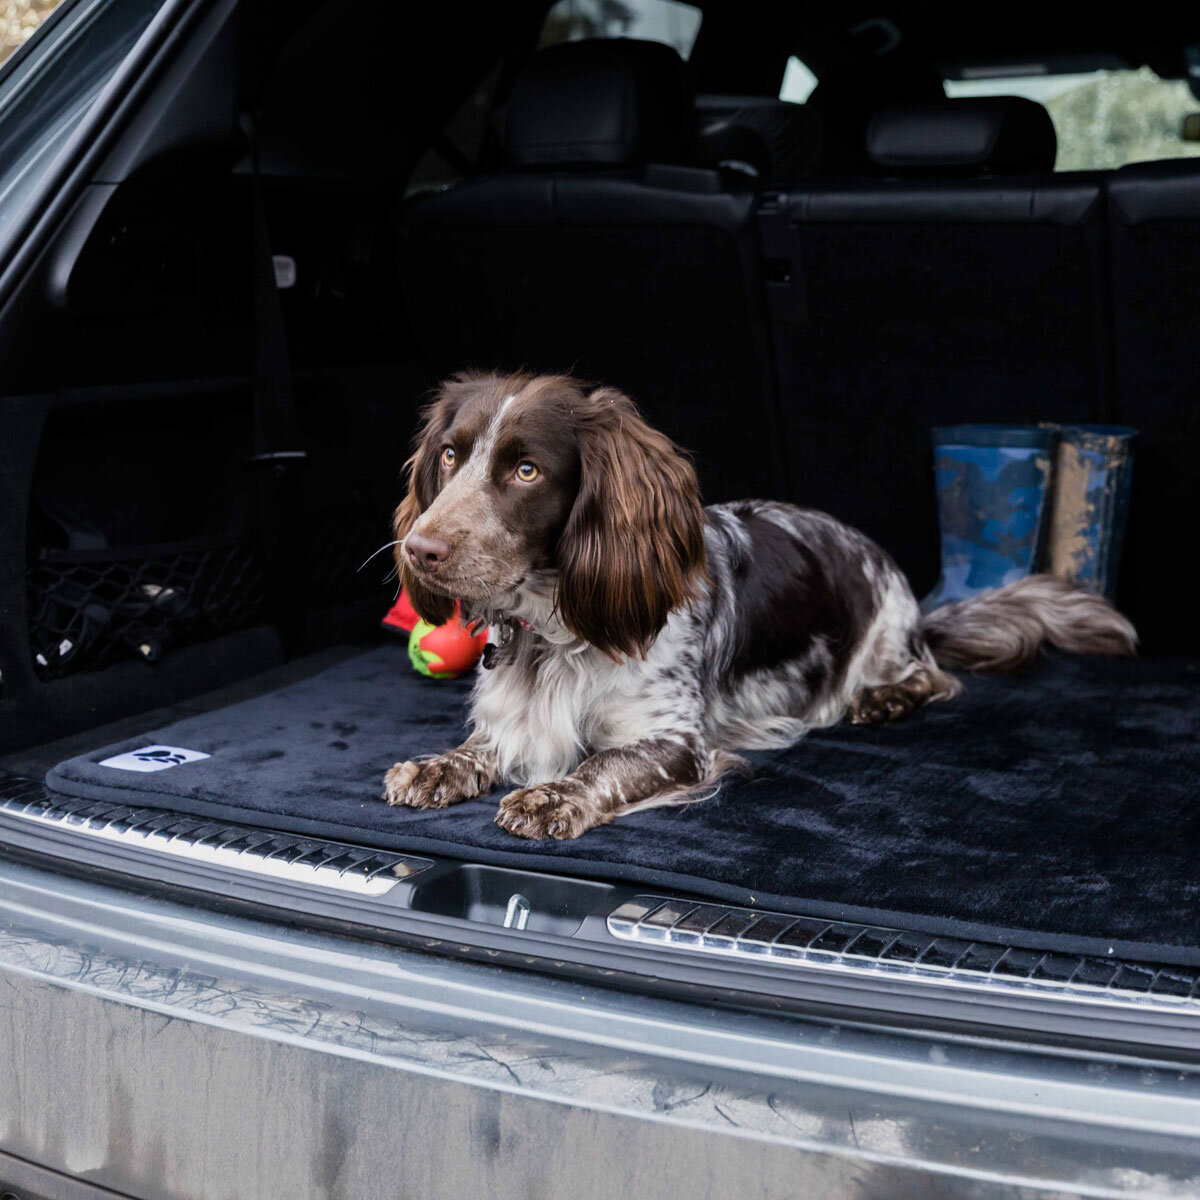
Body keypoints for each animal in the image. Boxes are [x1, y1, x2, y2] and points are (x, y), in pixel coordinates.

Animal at [384, 369, 1132, 840]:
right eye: (449, 456)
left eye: (527, 470)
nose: (418, 549)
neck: (554, 632)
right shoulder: (513, 714)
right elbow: (480, 745)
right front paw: (437, 765)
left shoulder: (677, 742)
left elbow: (601, 766)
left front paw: (547, 797)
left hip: (888, 634)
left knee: (930, 675)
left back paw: (885, 697)